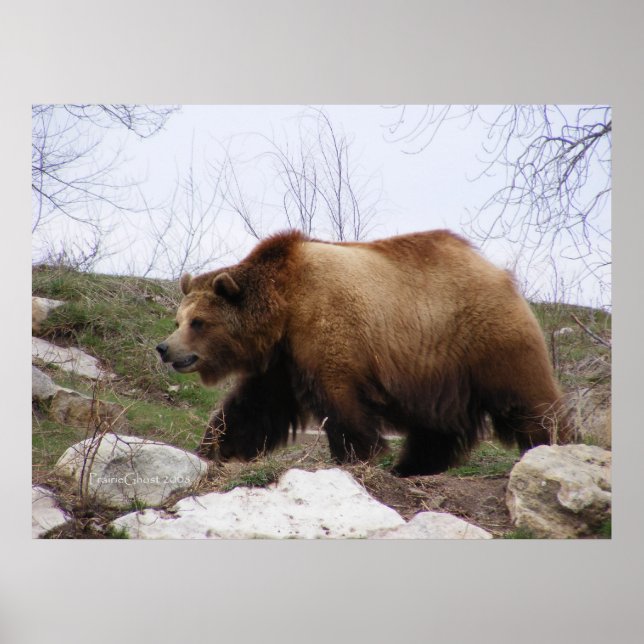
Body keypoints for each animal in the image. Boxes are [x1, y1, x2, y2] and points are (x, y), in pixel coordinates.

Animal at [156, 229, 570, 476]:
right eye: (179, 319)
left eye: (199, 322)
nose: (164, 348)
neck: (284, 307)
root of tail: (501, 274)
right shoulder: (282, 361)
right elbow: (251, 408)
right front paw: (212, 448)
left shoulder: (328, 333)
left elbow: (341, 403)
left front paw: (358, 456)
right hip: (439, 370)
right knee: (436, 427)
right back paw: (412, 466)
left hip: (486, 342)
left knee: (528, 400)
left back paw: (553, 442)